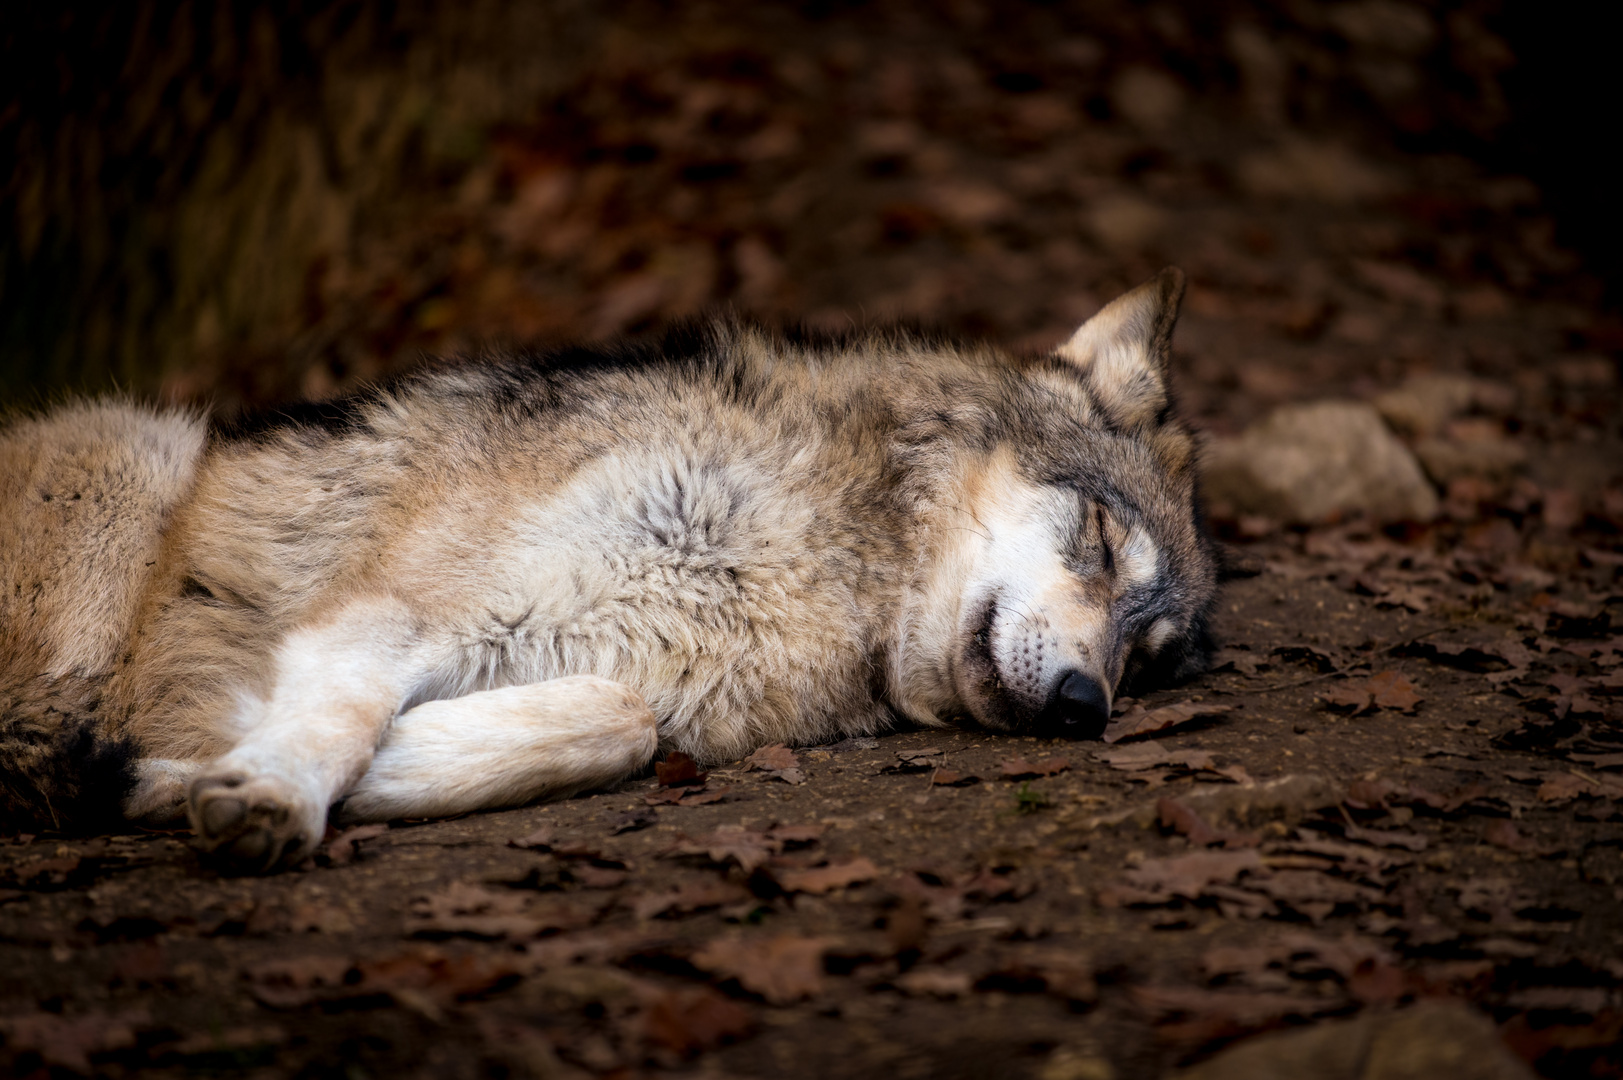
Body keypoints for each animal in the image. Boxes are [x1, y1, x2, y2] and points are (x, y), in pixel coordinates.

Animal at [0, 267, 1220, 870]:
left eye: (1146, 661)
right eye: (1101, 541)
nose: (1084, 705)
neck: (823, 554)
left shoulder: (636, 686)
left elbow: (616, 723)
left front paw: (198, 772)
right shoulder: (387, 606)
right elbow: (337, 719)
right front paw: (265, 791)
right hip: (135, 461)